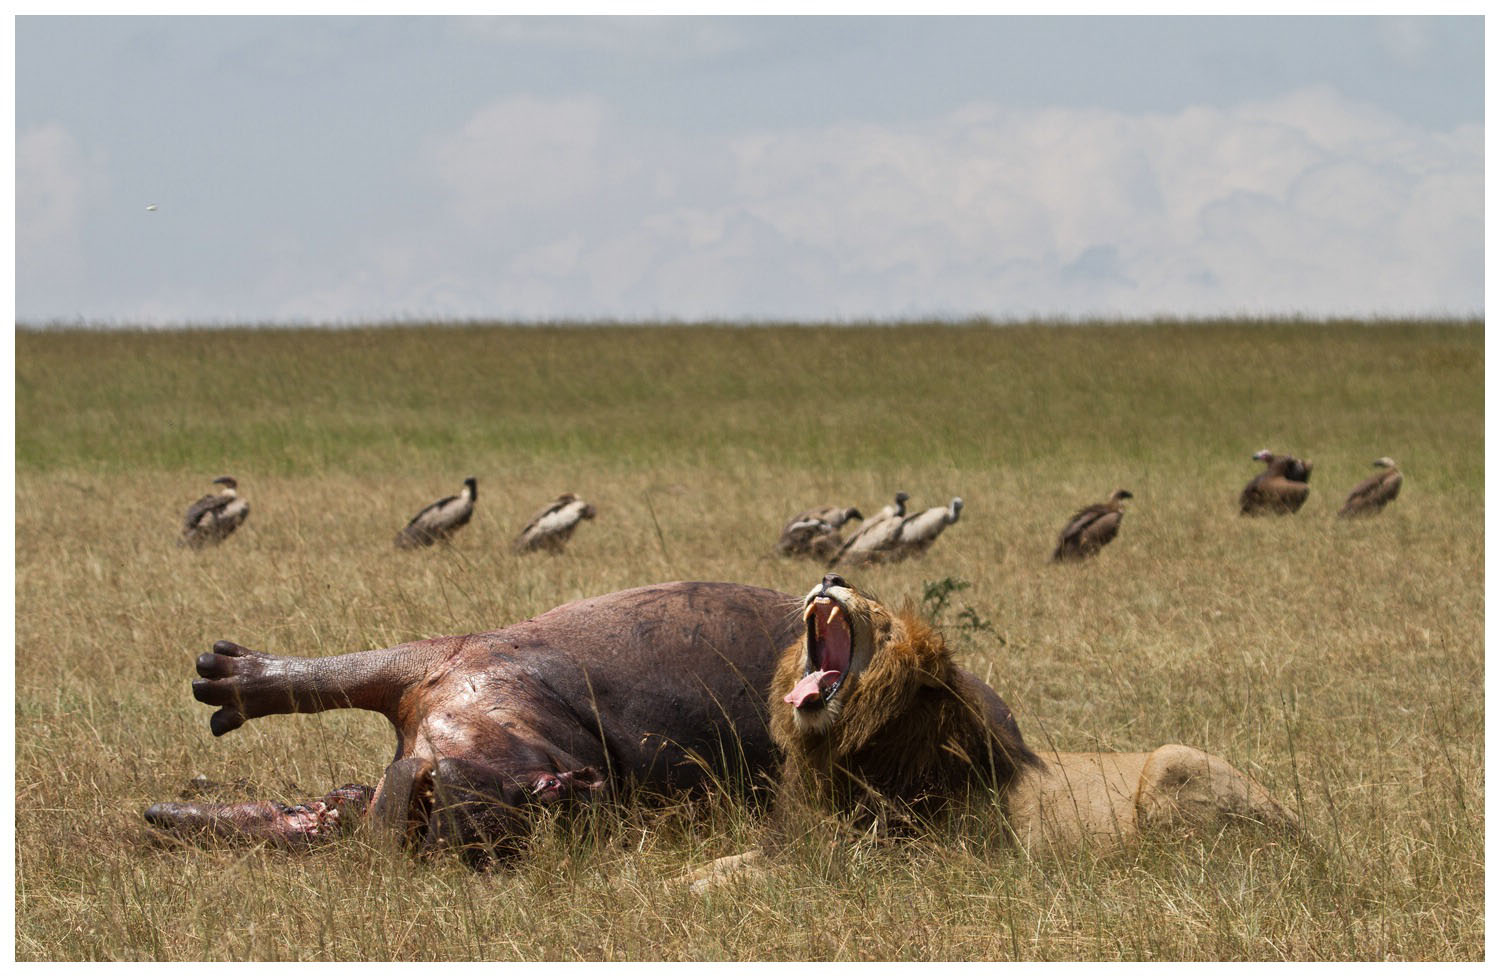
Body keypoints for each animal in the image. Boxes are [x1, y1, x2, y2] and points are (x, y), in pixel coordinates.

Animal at [687, 576, 1296, 888]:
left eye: (881, 616)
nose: (833, 577)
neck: (833, 745)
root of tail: (1302, 830)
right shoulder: (795, 836)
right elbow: (716, 866)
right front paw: (674, 883)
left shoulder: (895, 859)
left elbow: (767, 879)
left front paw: (708, 892)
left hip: (1174, 760)